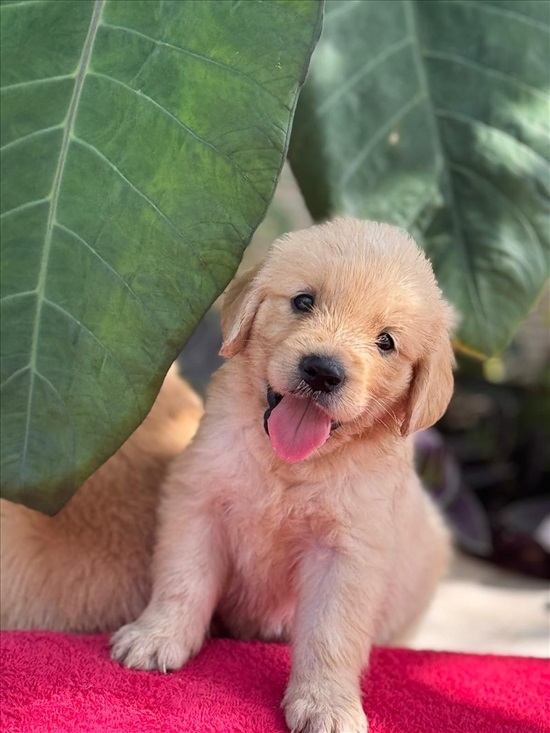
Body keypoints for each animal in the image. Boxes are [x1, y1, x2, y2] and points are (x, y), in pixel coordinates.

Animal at [113, 220, 458, 732]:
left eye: (386, 342)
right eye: (303, 301)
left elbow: (331, 634)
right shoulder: (198, 498)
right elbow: (183, 580)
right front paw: (157, 637)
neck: (288, 464)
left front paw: (326, 704)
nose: (322, 371)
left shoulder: (348, 551)